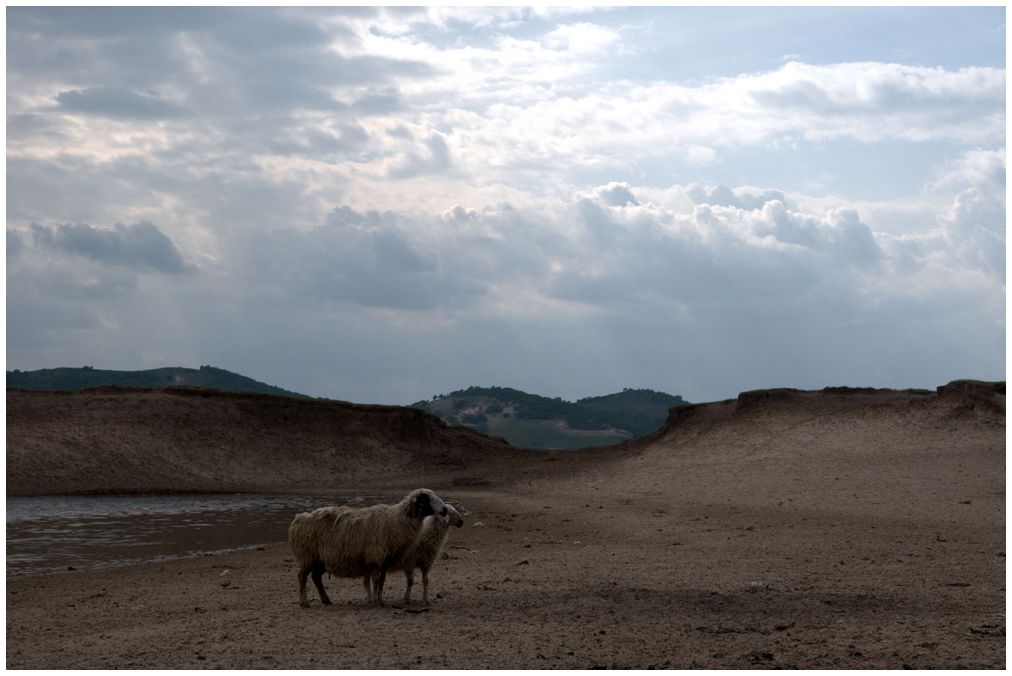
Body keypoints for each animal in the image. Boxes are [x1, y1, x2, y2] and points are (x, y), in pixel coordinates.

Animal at [289, 485, 447, 607]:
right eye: (426, 498)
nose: (444, 509)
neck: (395, 520)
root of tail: (298, 519)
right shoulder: (375, 558)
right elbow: (376, 581)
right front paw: (376, 601)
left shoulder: (385, 561)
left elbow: (382, 581)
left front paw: (381, 600)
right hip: (307, 556)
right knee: (302, 576)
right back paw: (304, 602)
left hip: (320, 560)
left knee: (316, 577)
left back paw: (326, 600)